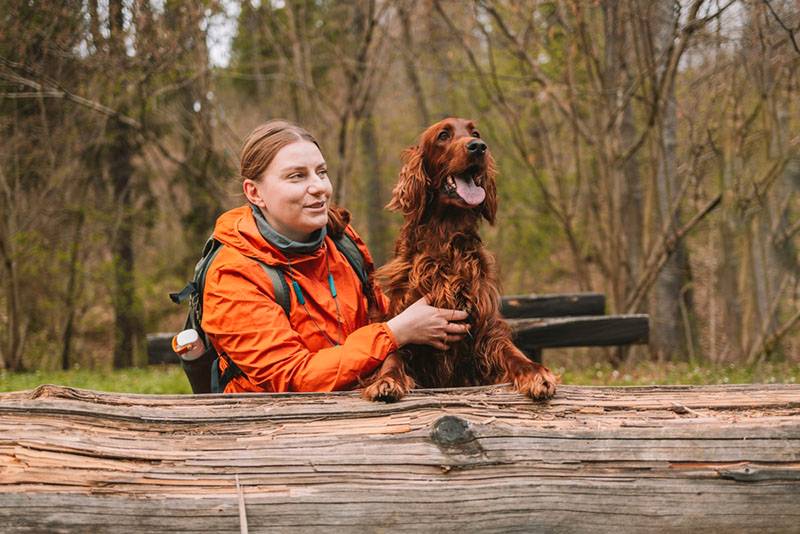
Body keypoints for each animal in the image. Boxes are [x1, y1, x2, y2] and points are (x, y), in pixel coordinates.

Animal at [362, 117, 556, 402]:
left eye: (475, 133)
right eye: (443, 135)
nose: (479, 147)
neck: (446, 238)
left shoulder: (485, 326)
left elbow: (510, 351)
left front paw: (536, 373)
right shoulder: (403, 315)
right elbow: (392, 354)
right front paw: (386, 380)